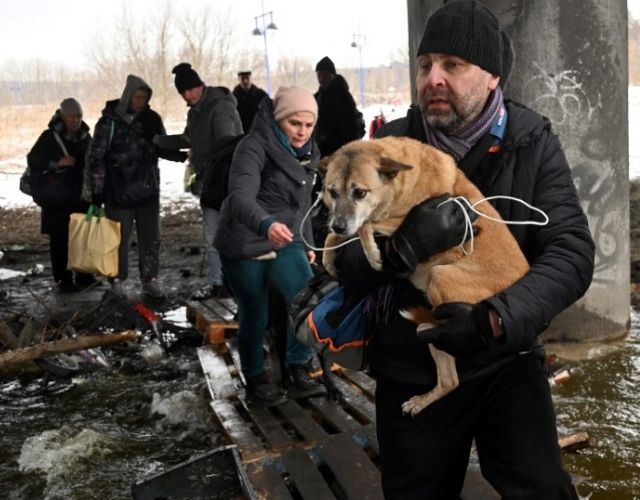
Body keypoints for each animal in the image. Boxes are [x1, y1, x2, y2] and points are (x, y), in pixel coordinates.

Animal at [316, 135, 528, 416]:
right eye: (332, 192)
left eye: (360, 192)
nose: (339, 223)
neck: (402, 182)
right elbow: (339, 234)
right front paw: (329, 256)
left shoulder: (400, 219)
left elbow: (365, 225)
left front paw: (372, 253)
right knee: (450, 380)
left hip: (441, 278)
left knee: (447, 356)